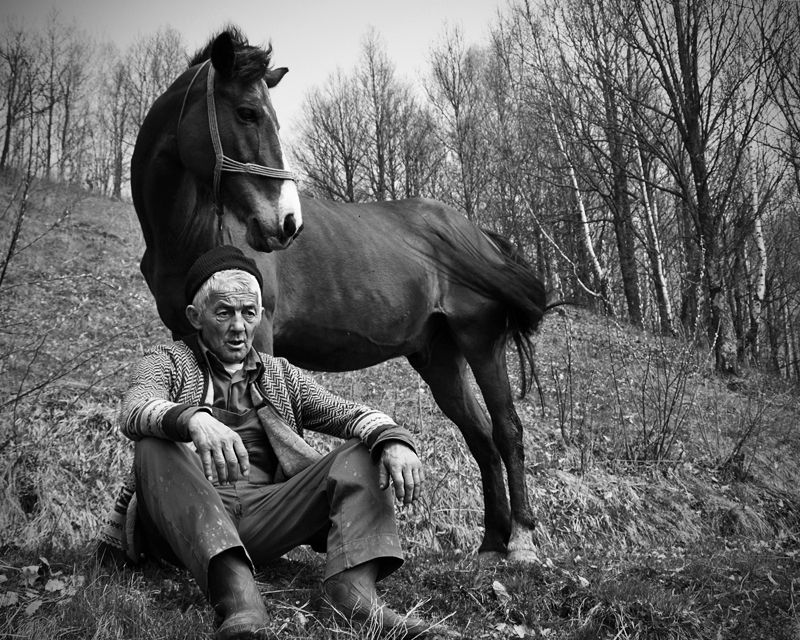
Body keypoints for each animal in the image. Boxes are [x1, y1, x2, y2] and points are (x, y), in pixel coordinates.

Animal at [130, 27, 547, 563]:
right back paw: (492, 540)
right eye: (246, 113)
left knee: (507, 431)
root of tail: (478, 235)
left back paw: (521, 539)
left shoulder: (260, 336)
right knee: (480, 438)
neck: (191, 232)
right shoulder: (186, 332)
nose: (288, 223)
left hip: (480, 341)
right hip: (439, 357)